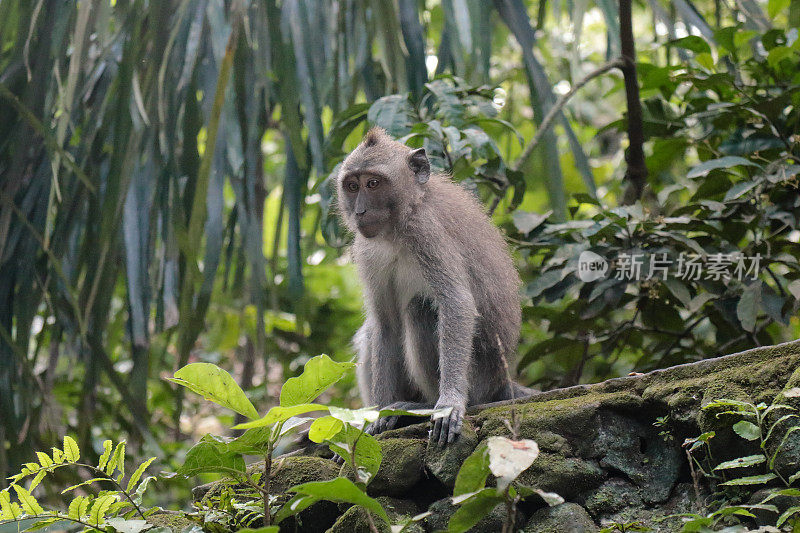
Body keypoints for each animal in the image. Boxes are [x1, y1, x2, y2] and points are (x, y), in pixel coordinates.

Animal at [338, 127, 532, 442]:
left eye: (373, 183)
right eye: (353, 186)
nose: (360, 212)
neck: (398, 227)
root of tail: (501, 382)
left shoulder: (427, 231)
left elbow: (456, 302)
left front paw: (449, 401)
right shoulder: (367, 250)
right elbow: (385, 324)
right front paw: (377, 417)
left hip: (478, 379)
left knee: (420, 309)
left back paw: (422, 405)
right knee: (372, 331)